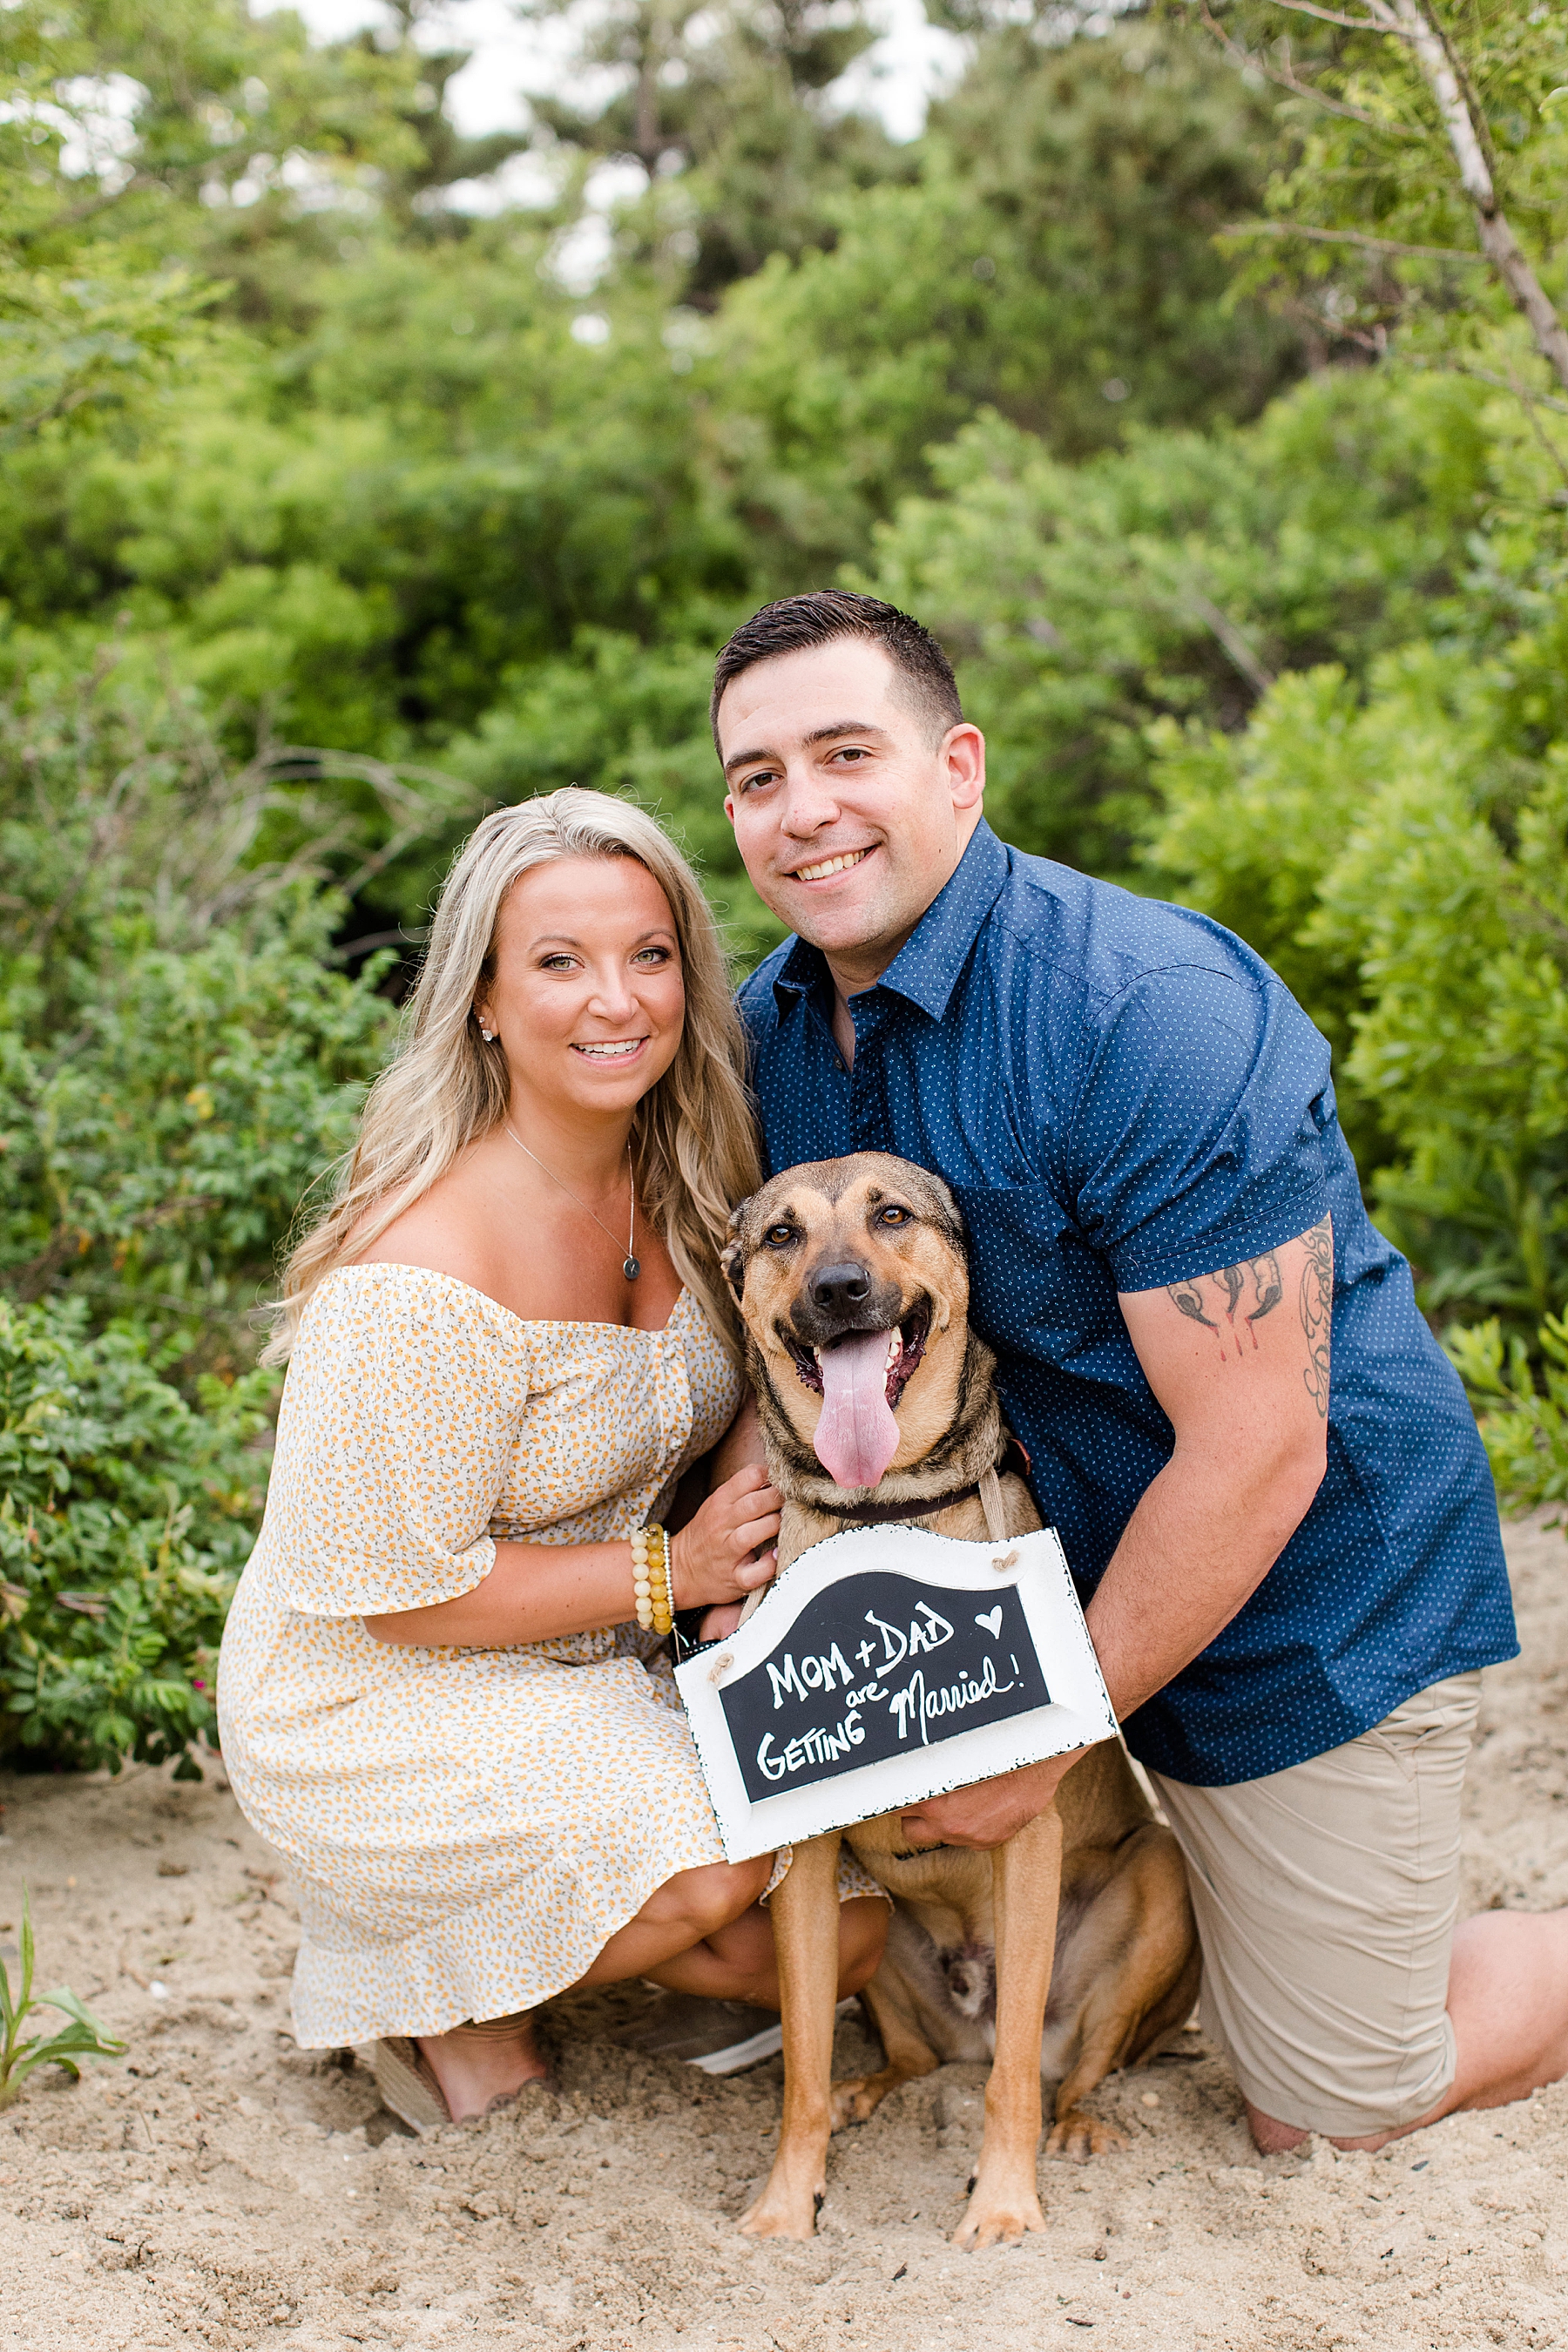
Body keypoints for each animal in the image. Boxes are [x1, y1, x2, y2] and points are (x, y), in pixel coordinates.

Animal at [724, 1147, 1203, 2248]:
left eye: (892, 1216)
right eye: (781, 1236)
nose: (837, 1289)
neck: (880, 1510)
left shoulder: (1025, 1838)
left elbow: (1016, 2076)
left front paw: (1005, 2203)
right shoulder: (802, 1866)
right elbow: (800, 2067)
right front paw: (786, 2203)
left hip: (1156, 1891)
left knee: (1065, 2062)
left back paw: (1079, 2126)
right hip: (878, 1950)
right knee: (913, 2061)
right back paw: (868, 2094)